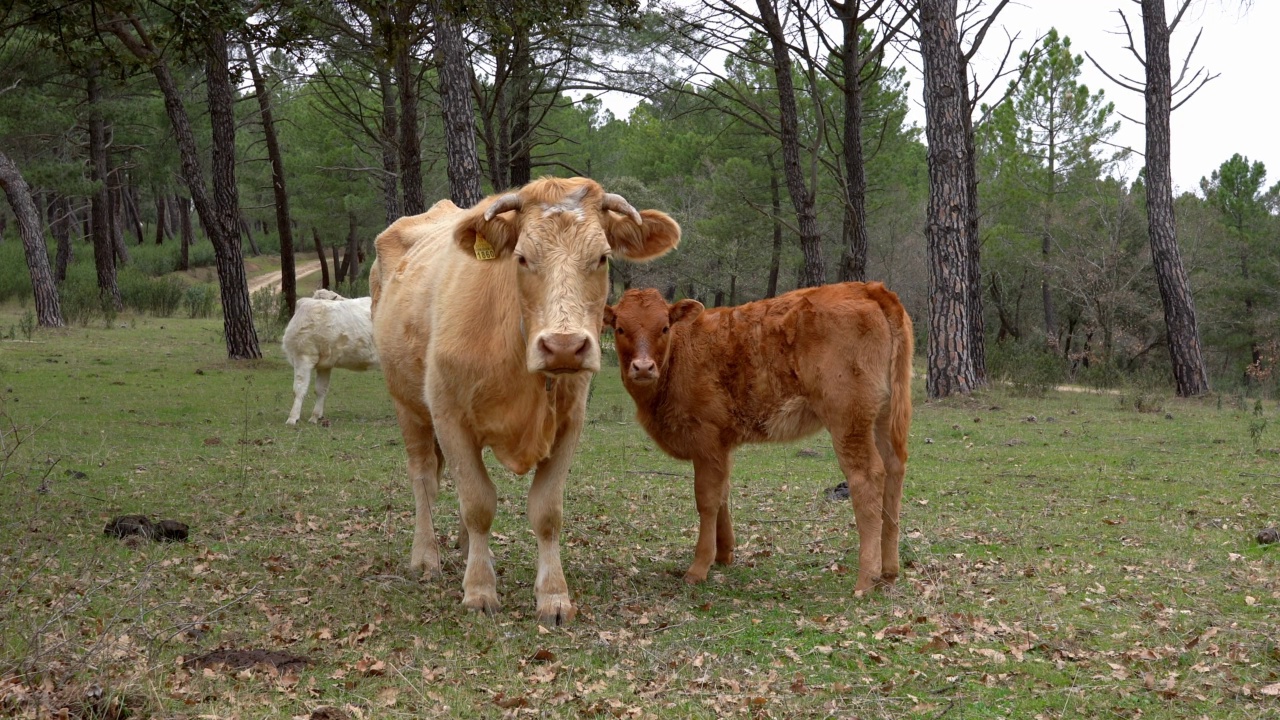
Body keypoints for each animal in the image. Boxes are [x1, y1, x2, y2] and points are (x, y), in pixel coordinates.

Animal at [284, 285, 376, 420]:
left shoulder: (303, 356)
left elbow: (299, 389)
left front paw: (292, 418)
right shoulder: (324, 364)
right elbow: (320, 389)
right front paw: (315, 417)